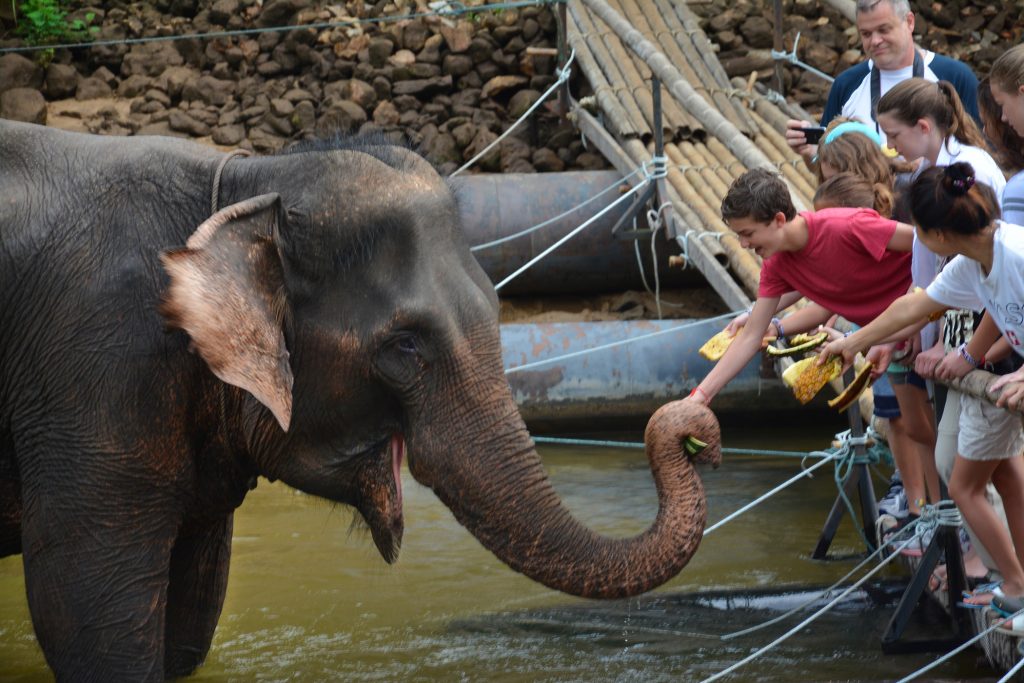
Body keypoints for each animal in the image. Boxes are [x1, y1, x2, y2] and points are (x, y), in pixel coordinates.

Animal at [0, 120, 720, 679]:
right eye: (405, 344)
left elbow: (189, 625)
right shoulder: (96, 369)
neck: (245, 182)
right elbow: (92, 624)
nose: (696, 432)